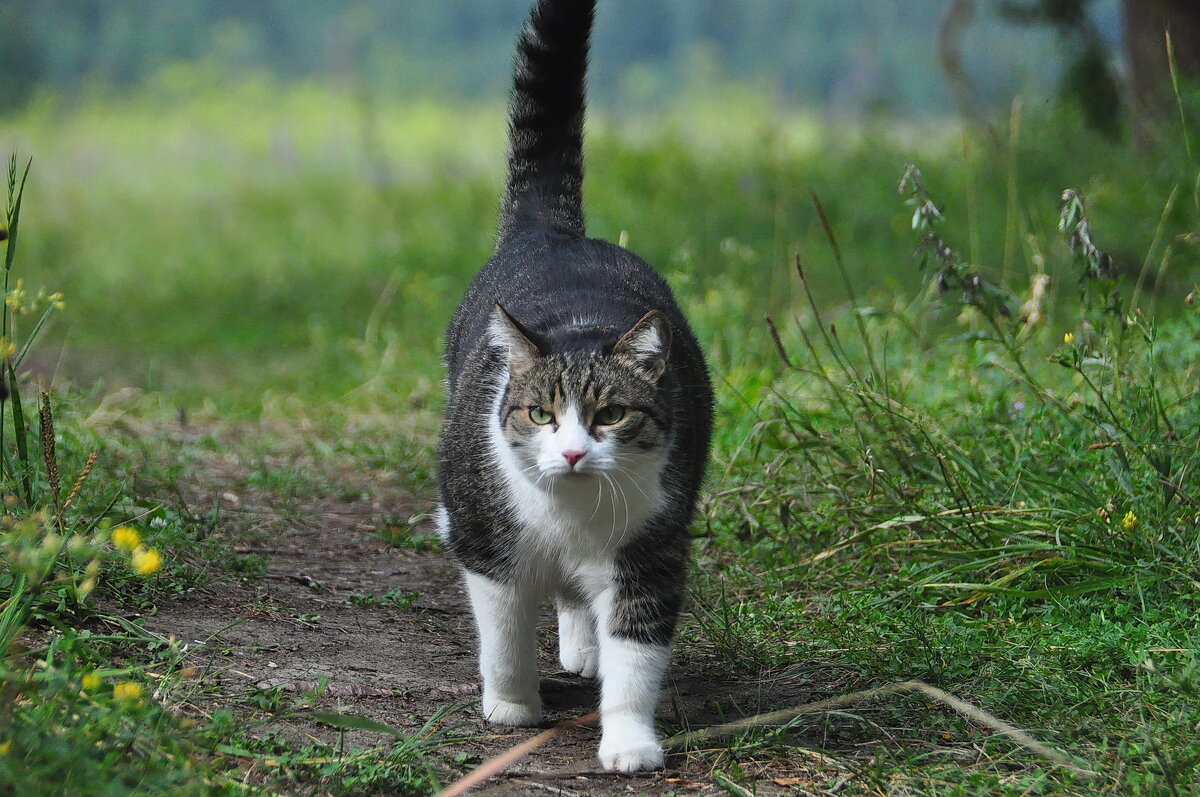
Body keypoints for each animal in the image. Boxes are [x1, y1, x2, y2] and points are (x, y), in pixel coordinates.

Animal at [436, 0, 705, 772]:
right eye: (539, 413)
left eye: (611, 414)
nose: (576, 452)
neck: (572, 515)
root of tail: (555, 234)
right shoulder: (484, 538)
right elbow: (502, 633)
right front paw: (512, 706)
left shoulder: (652, 549)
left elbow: (637, 651)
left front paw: (629, 741)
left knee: (581, 601)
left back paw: (584, 646)